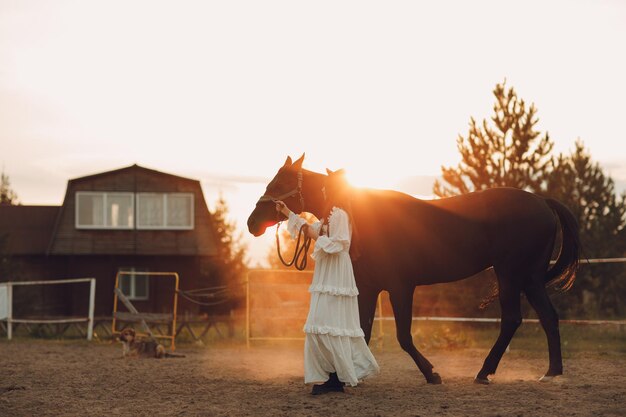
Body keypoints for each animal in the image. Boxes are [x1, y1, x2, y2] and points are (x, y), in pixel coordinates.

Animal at [246, 154, 576, 384]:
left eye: (278, 185)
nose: (252, 223)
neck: (365, 217)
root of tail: (542, 201)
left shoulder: (400, 287)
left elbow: (403, 336)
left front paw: (431, 374)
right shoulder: (369, 288)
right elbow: (364, 330)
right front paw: (347, 375)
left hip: (511, 274)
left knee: (513, 320)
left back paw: (488, 371)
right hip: (528, 278)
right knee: (547, 317)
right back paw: (550, 372)